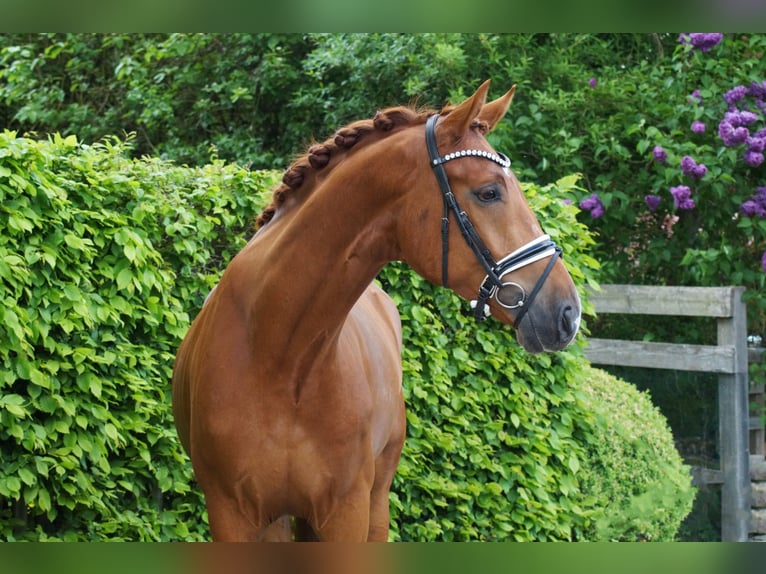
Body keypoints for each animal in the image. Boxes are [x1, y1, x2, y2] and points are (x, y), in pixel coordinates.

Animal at [172, 82, 584, 544]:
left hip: (375, 500)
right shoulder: (234, 517)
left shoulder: (346, 512)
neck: (278, 356)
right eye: (489, 192)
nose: (568, 312)